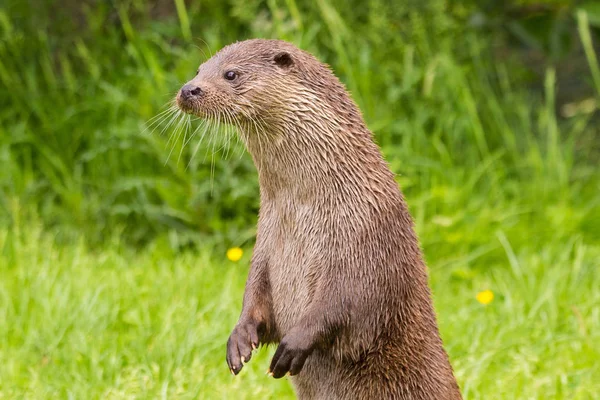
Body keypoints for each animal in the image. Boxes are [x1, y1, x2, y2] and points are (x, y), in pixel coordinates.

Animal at [176, 38, 462, 400]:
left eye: (231, 73)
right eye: (199, 69)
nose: (188, 89)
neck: (308, 204)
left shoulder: (365, 236)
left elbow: (346, 302)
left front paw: (294, 345)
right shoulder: (266, 238)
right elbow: (255, 290)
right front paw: (239, 339)